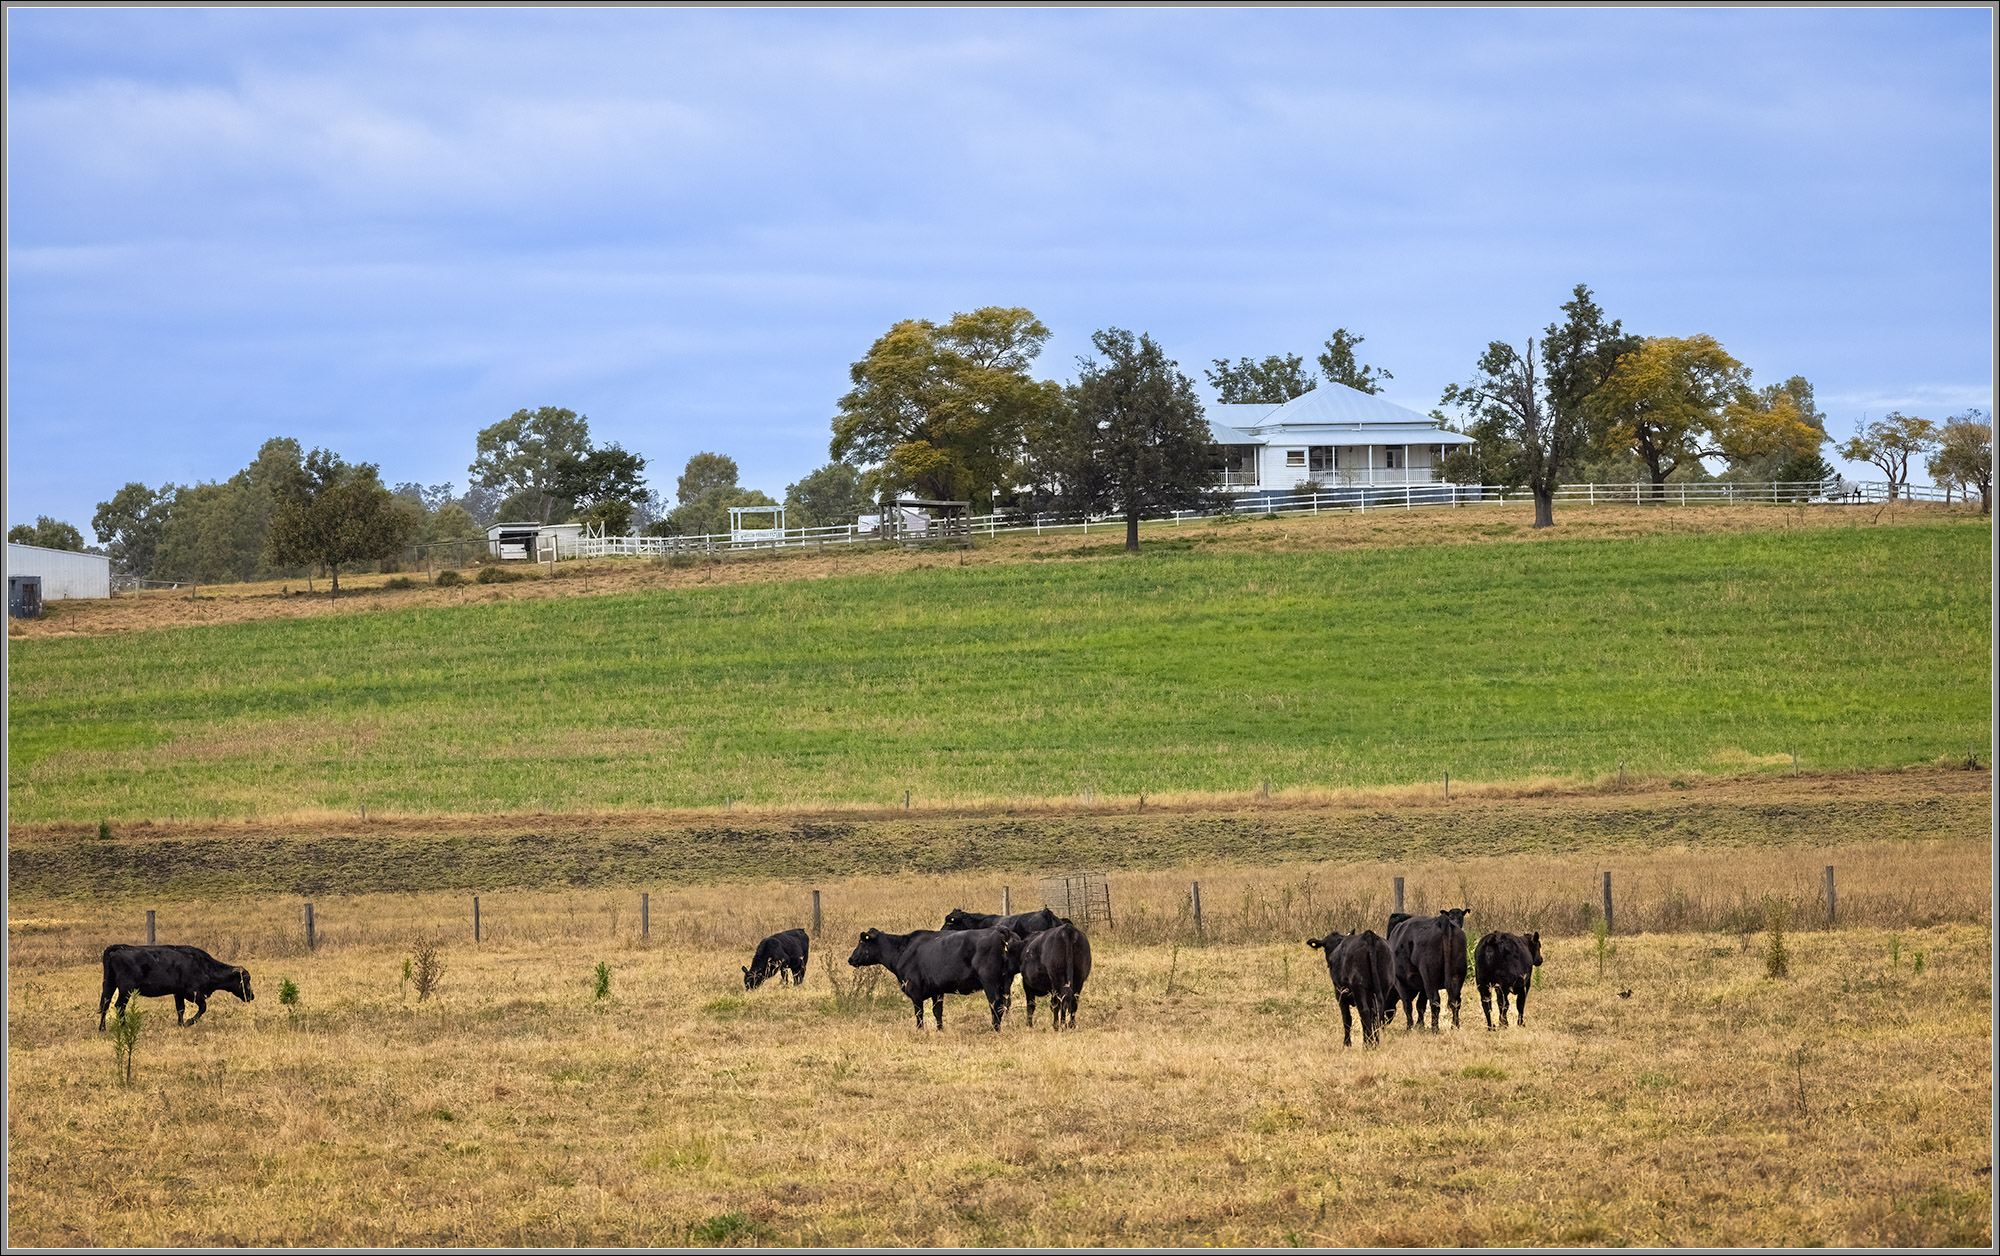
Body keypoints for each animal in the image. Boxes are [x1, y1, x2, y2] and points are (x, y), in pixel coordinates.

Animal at [100, 944, 254, 1032]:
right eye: (246, 980)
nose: (252, 996)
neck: (203, 965)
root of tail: (116, 950)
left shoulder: (178, 993)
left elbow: (180, 1009)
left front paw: (180, 1025)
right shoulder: (193, 993)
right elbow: (202, 1008)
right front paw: (188, 1022)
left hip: (110, 986)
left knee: (105, 1005)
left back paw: (102, 1028)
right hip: (126, 989)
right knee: (119, 1006)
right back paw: (123, 1026)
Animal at [852, 924, 1024, 1032]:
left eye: (861, 942)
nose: (850, 959)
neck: (903, 950)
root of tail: (1000, 929)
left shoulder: (914, 989)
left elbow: (919, 1013)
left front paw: (920, 1030)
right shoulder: (937, 990)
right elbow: (937, 1012)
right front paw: (940, 1029)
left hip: (990, 981)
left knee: (995, 1003)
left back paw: (995, 1028)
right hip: (1005, 981)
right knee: (1006, 1003)